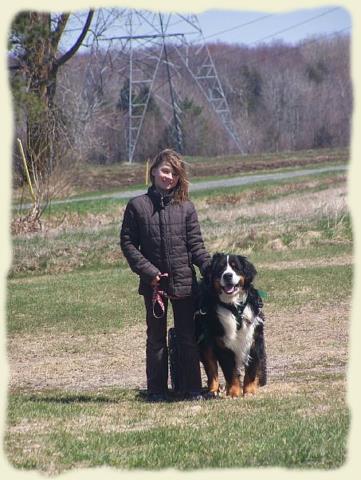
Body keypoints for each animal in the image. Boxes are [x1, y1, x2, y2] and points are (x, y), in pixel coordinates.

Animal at [195, 253, 266, 400]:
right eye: (220, 268)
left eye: (235, 267)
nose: (227, 275)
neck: (234, 307)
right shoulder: (222, 344)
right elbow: (230, 372)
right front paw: (234, 392)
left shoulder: (253, 339)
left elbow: (251, 370)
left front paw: (249, 391)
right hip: (204, 342)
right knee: (211, 369)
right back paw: (213, 390)